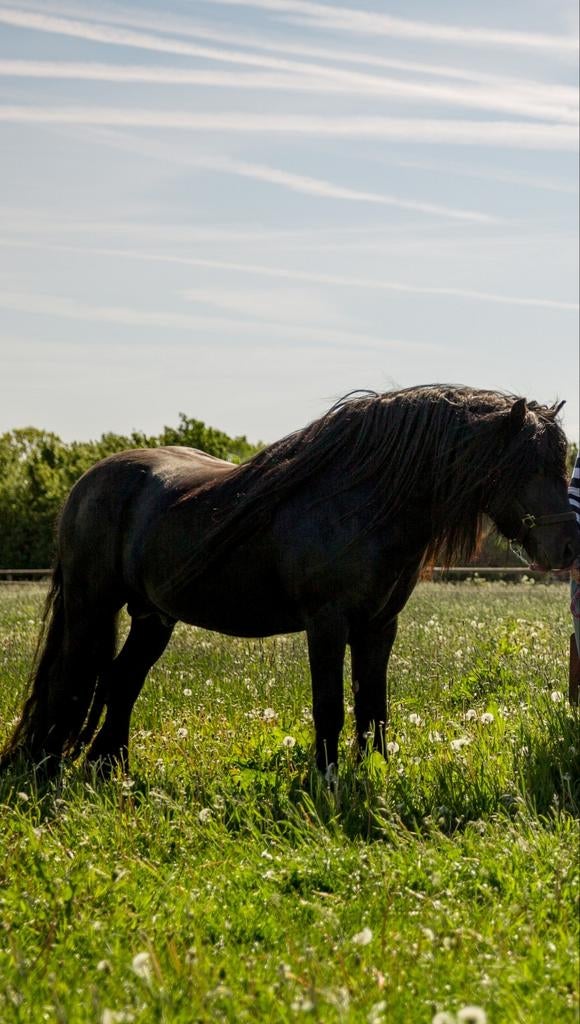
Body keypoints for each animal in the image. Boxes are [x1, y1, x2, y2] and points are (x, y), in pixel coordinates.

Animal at [1, 385, 578, 779]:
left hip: (153, 617)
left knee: (121, 681)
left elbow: (374, 707)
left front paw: (373, 775)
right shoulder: (326, 626)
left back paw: (112, 770)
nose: (568, 549)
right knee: (69, 682)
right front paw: (326, 782)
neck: (362, 504)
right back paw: (48, 769)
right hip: (90, 606)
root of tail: (88, 481)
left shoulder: (378, 628)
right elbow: (331, 708)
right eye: (529, 467)